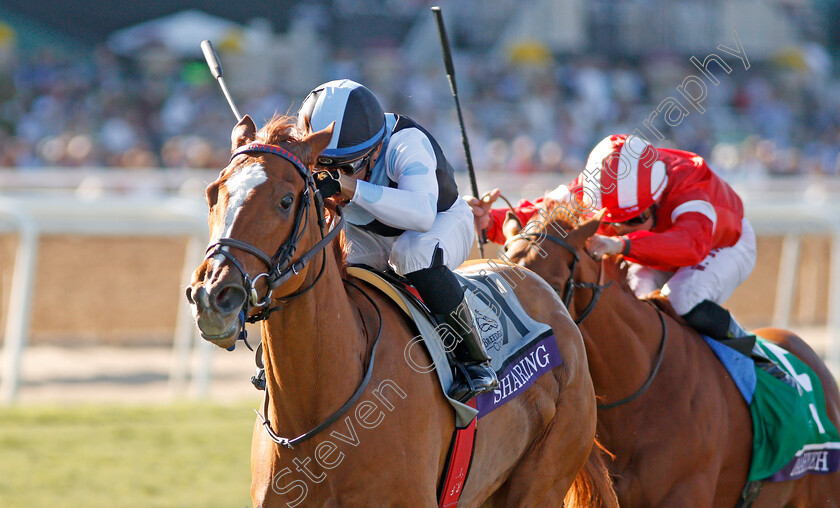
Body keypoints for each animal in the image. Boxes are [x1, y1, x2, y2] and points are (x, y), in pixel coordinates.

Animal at [185, 115, 616, 508]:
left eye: (286, 200)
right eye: (212, 194)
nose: (213, 296)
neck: (315, 412)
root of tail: (547, 296)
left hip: (542, 478)